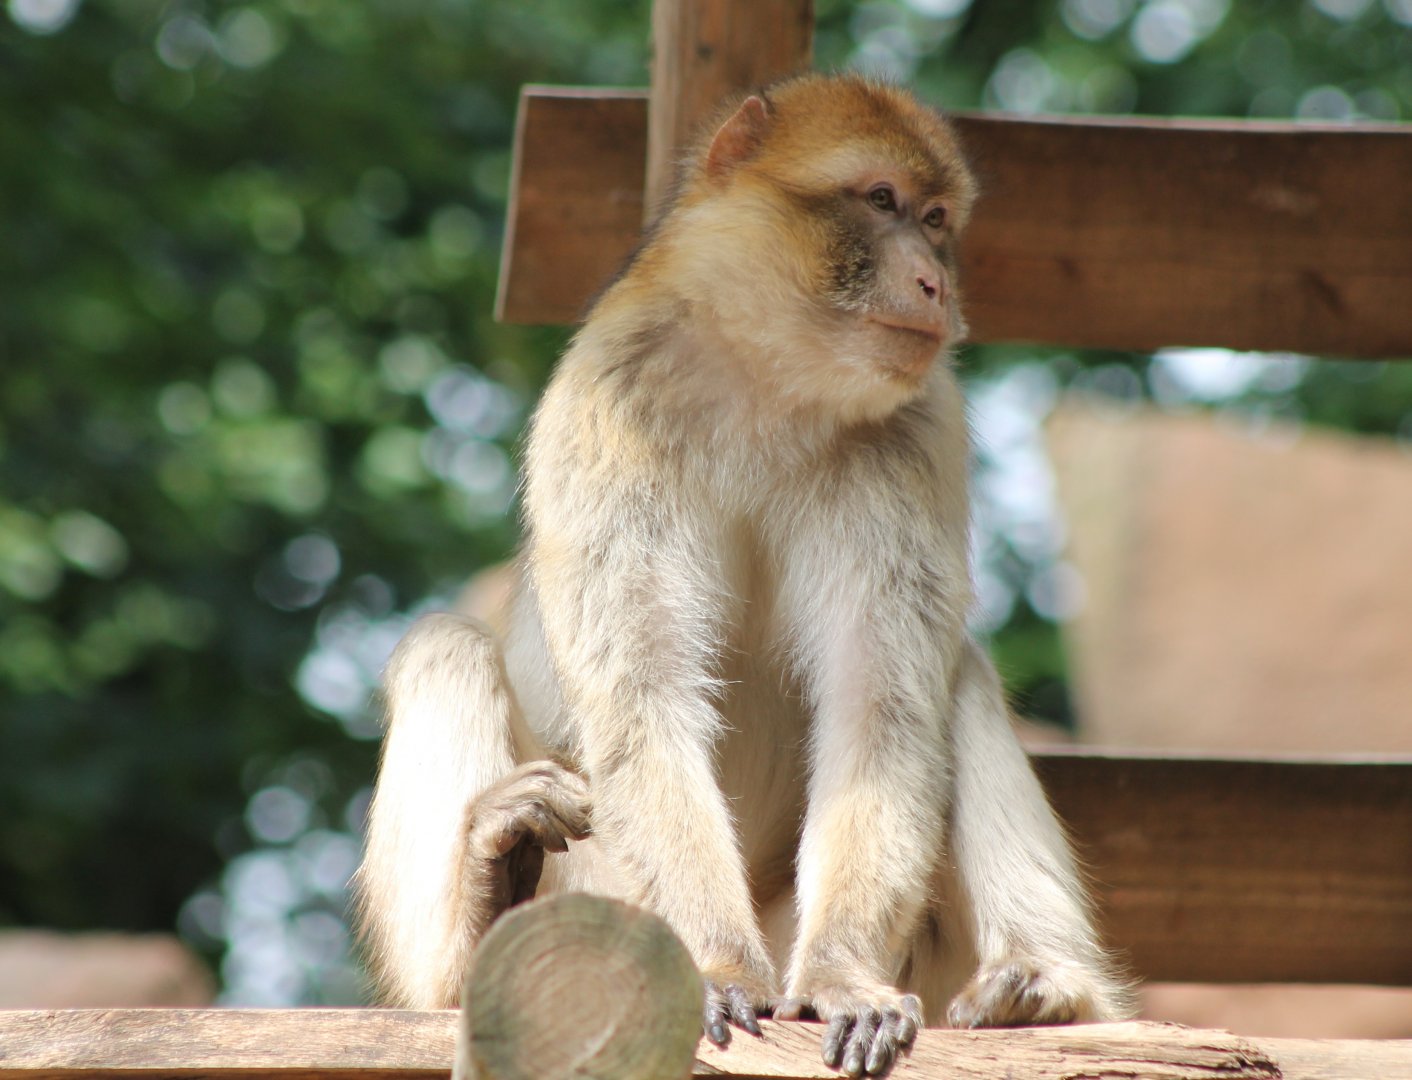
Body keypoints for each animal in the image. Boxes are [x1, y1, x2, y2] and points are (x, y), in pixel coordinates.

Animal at [354, 73, 1131, 1077]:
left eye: (935, 219)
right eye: (881, 201)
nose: (936, 282)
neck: (771, 382)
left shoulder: (915, 433)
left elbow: (881, 705)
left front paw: (843, 977)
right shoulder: (608, 402)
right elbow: (642, 695)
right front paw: (717, 965)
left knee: (955, 677)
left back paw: (1043, 990)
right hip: (596, 892)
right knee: (444, 646)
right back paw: (479, 914)